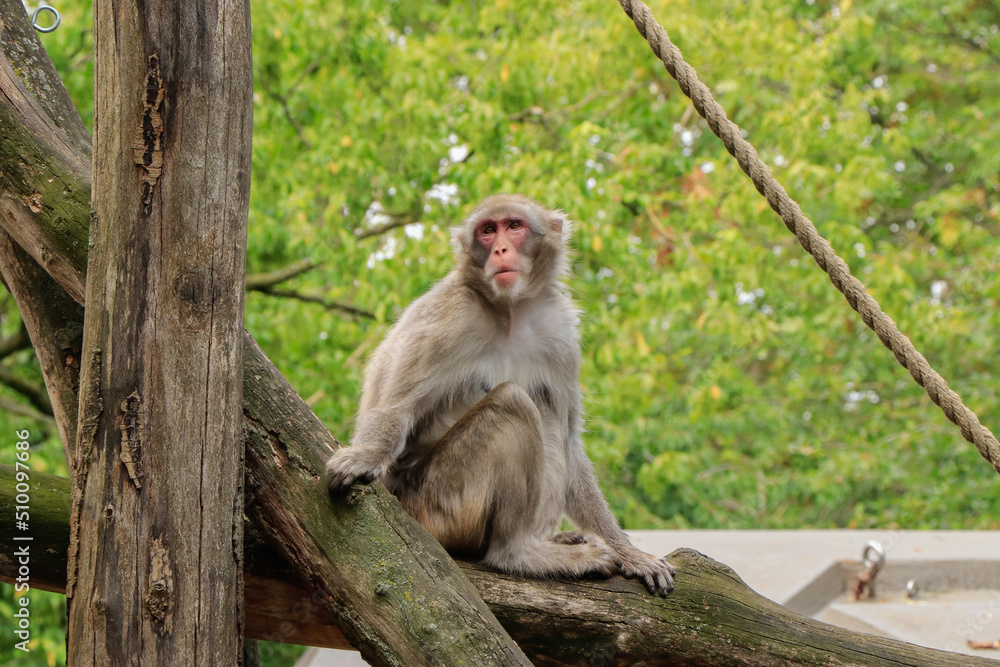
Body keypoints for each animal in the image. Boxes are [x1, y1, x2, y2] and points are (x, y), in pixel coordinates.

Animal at [326, 194, 675, 595]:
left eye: (515, 226)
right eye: (488, 230)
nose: (501, 249)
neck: (510, 311)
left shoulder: (560, 333)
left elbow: (569, 441)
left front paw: (628, 551)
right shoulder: (450, 316)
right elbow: (396, 407)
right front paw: (366, 455)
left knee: (544, 411)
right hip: (438, 504)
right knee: (514, 404)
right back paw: (517, 553)